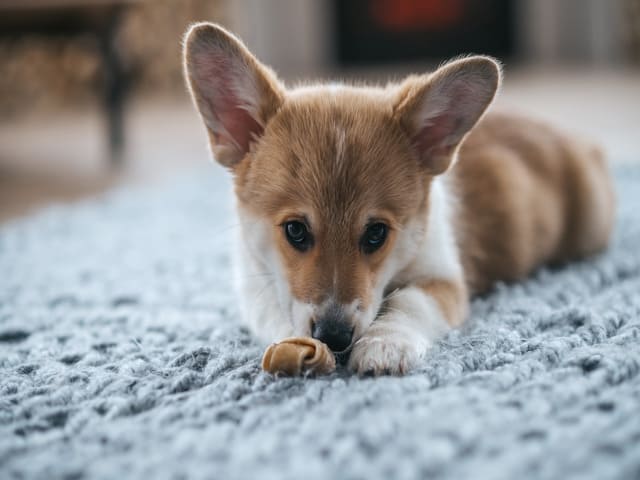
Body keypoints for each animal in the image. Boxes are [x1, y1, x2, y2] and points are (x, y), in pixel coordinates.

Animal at [181, 22, 616, 376]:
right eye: (295, 231)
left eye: (376, 234)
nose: (334, 337)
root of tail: (576, 139)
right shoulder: (254, 281)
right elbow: (275, 307)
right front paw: (294, 341)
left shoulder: (443, 279)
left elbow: (408, 301)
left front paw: (384, 345)